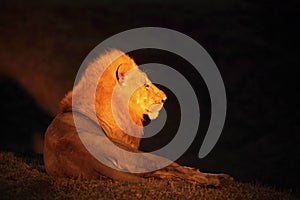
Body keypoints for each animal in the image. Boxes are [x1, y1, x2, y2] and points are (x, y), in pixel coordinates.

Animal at [42, 49, 230, 185]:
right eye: (146, 85)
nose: (164, 99)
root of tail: (85, 157)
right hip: (135, 153)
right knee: (172, 167)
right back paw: (217, 179)